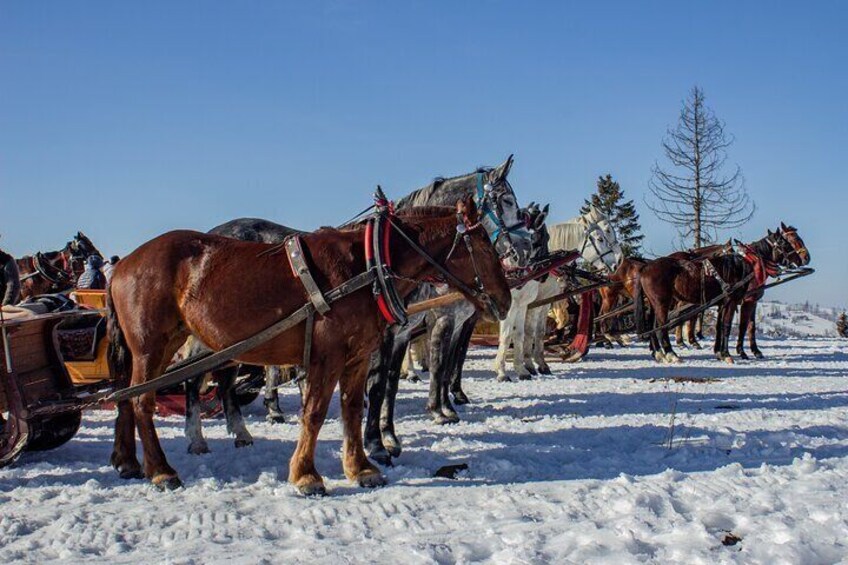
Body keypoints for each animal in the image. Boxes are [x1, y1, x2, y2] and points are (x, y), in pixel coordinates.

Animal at [109, 200, 512, 492]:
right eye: (483, 244)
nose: (505, 300)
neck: (367, 266)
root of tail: (123, 264)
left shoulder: (358, 356)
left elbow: (352, 410)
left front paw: (361, 468)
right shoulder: (326, 356)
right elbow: (315, 412)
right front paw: (306, 475)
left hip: (164, 344)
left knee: (126, 394)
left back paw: (128, 461)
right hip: (152, 345)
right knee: (143, 400)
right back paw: (161, 470)